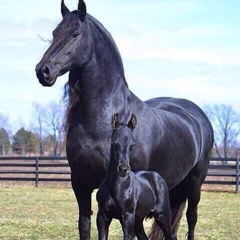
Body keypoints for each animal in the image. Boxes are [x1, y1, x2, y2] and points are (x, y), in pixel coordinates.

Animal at [35, 0, 214, 239]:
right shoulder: (80, 185)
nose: (43, 71)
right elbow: (84, 225)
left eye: (75, 34)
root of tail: (198, 116)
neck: (102, 116)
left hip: (195, 182)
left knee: (191, 218)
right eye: (55, 33)